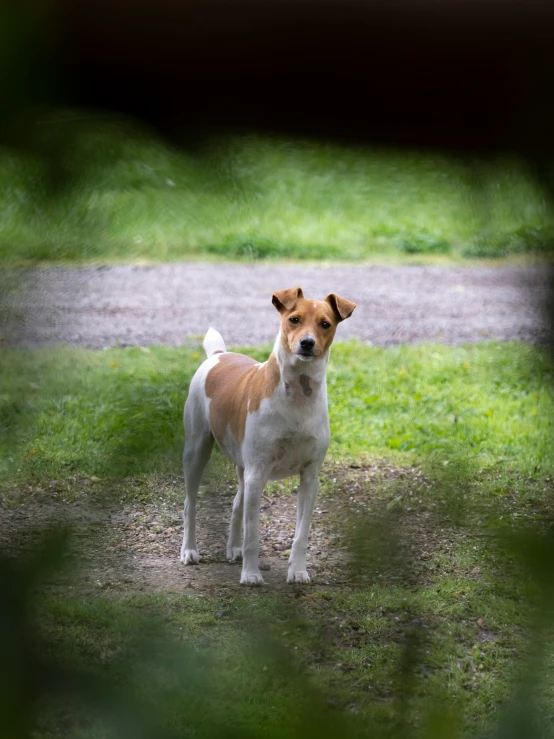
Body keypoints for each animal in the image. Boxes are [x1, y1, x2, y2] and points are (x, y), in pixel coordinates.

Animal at [179, 286, 356, 588]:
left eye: (325, 324)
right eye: (294, 319)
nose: (307, 343)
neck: (297, 397)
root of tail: (218, 355)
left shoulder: (310, 478)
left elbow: (301, 534)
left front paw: (298, 571)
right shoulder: (258, 473)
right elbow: (253, 534)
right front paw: (251, 575)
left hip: (243, 467)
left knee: (237, 503)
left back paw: (233, 548)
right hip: (197, 451)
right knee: (190, 503)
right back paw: (190, 551)